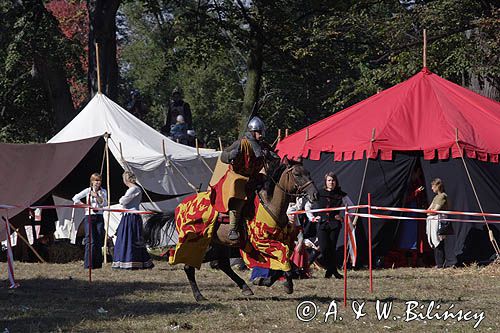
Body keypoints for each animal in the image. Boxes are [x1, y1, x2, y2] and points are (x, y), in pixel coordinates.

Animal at [145, 158, 318, 300]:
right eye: (297, 174)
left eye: (309, 173)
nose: (314, 194)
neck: (271, 205)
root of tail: (179, 207)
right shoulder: (263, 242)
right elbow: (283, 260)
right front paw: (286, 285)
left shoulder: (281, 239)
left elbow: (285, 259)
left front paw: (264, 281)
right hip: (198, 242)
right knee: (190, 265)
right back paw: (199, 296)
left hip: (218, 244)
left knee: (221, 264)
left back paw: (244, 287)